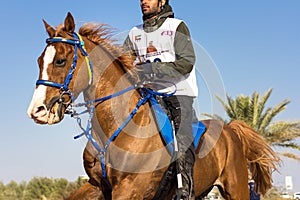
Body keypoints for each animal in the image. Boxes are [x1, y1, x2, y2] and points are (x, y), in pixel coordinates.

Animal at [27, 13, 280, 199]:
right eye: (39, 61)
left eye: (61, 61)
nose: (37, 110)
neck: (119, 129)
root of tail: (230, 130)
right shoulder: (97, 186)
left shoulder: (129, 189)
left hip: (236, 189)